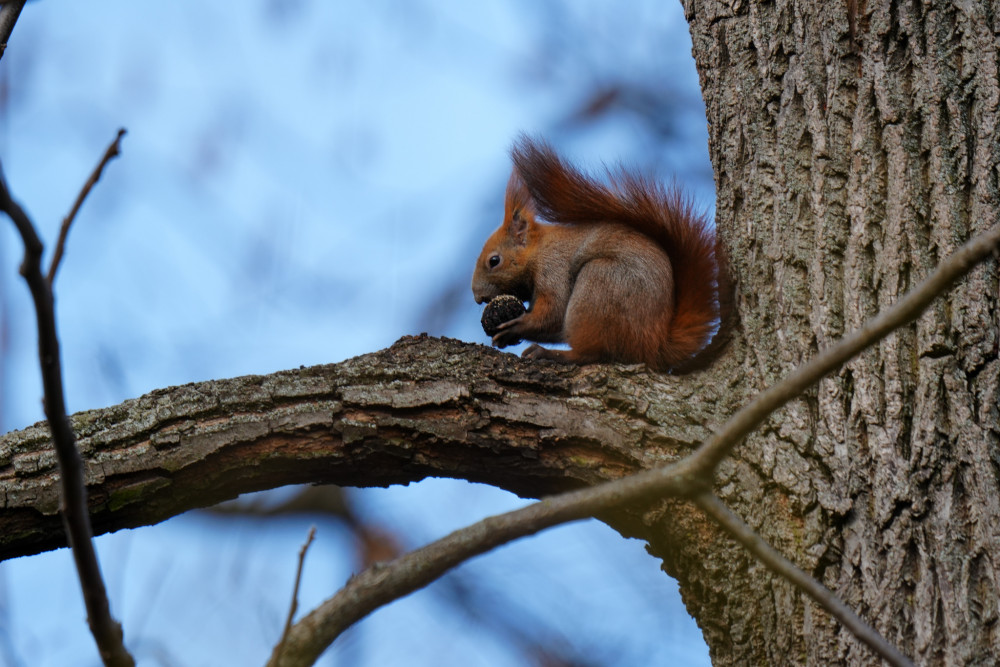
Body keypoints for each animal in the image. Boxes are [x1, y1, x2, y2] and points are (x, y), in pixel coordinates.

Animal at [472, 138, 732, 374]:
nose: (477, 297)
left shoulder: (554, 266)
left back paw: (552, 354)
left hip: (599, 285)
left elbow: (554, 313)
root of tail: (655, 345)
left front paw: (515, 326)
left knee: (592, 353)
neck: (540, 249)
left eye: (494, 261)